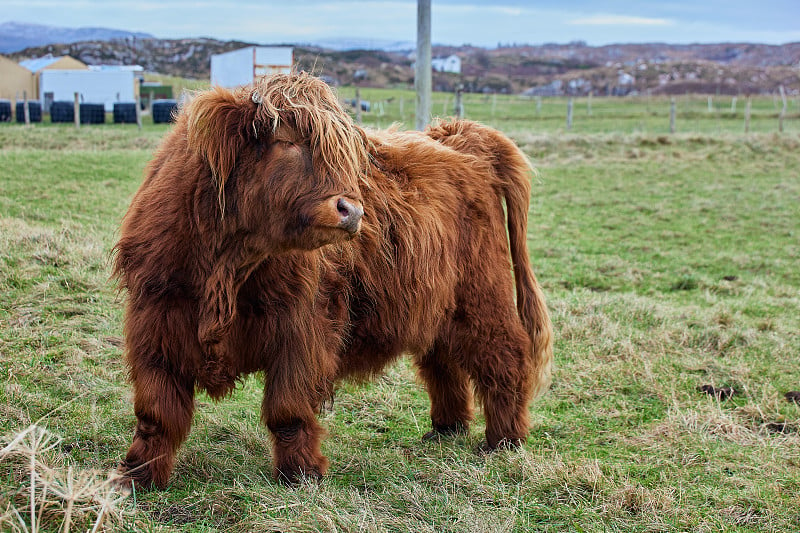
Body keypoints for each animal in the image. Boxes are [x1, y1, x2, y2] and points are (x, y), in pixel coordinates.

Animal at [111, 72, 552, 488]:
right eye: (285, 142)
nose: (352, 210)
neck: (226, 266)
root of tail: (458, 137)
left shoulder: (301, 327)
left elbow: (288, 408)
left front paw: (300, 474)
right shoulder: (154, 320)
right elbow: (156, 412)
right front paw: (137, 477)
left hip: (482, 294)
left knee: (504, 355)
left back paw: (503, 440)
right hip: (437, 300)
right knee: (441, 358)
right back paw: (447, 429)